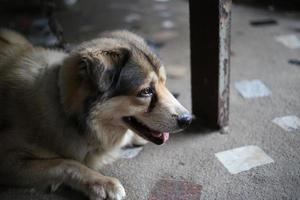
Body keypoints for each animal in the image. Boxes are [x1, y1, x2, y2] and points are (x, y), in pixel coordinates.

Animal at [0, 28, 192, 199]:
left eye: (164, 83)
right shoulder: (8, 160)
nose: (188, 119)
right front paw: (101, 182)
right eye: (146, 92)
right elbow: (66, 162)